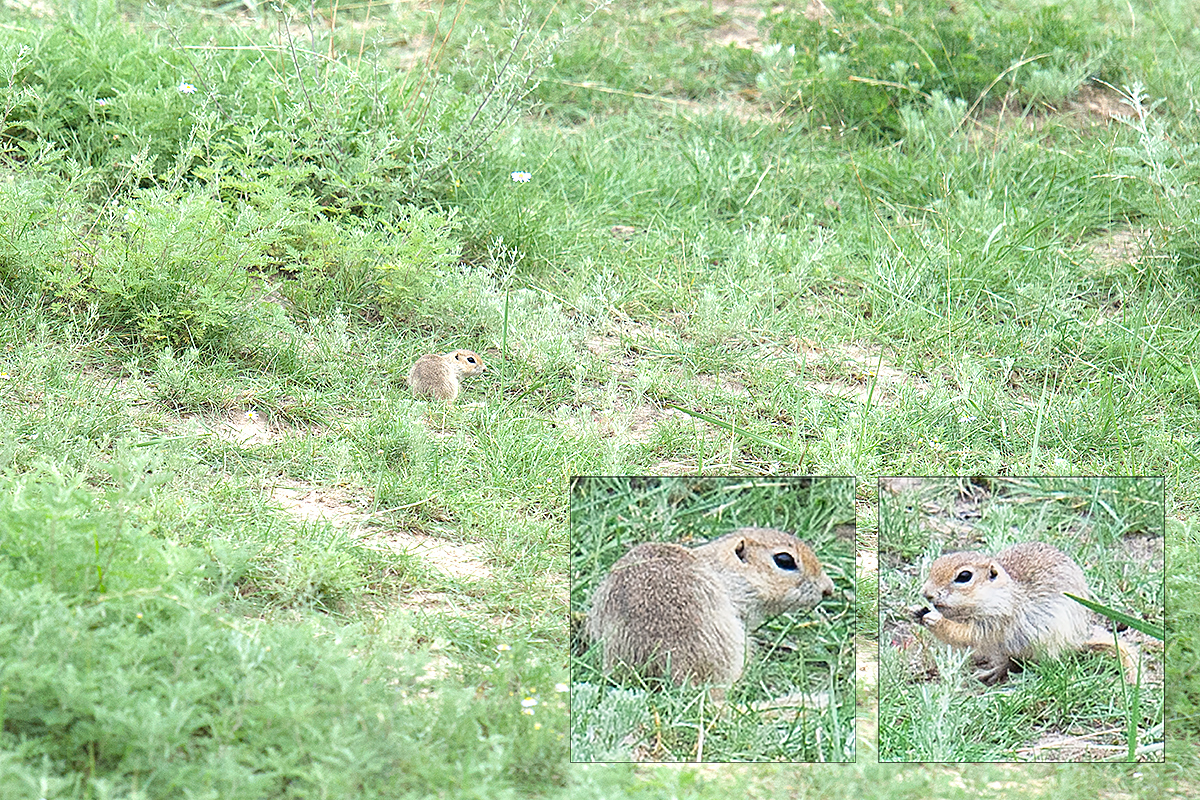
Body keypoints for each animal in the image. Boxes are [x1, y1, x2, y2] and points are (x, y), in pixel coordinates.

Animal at [912, 542, 1094, 686]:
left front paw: (935, 620)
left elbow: (965, 634)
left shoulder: (996, 620)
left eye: (964, 576)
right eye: (936, 563)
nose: (926, 593)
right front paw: (916, 610)